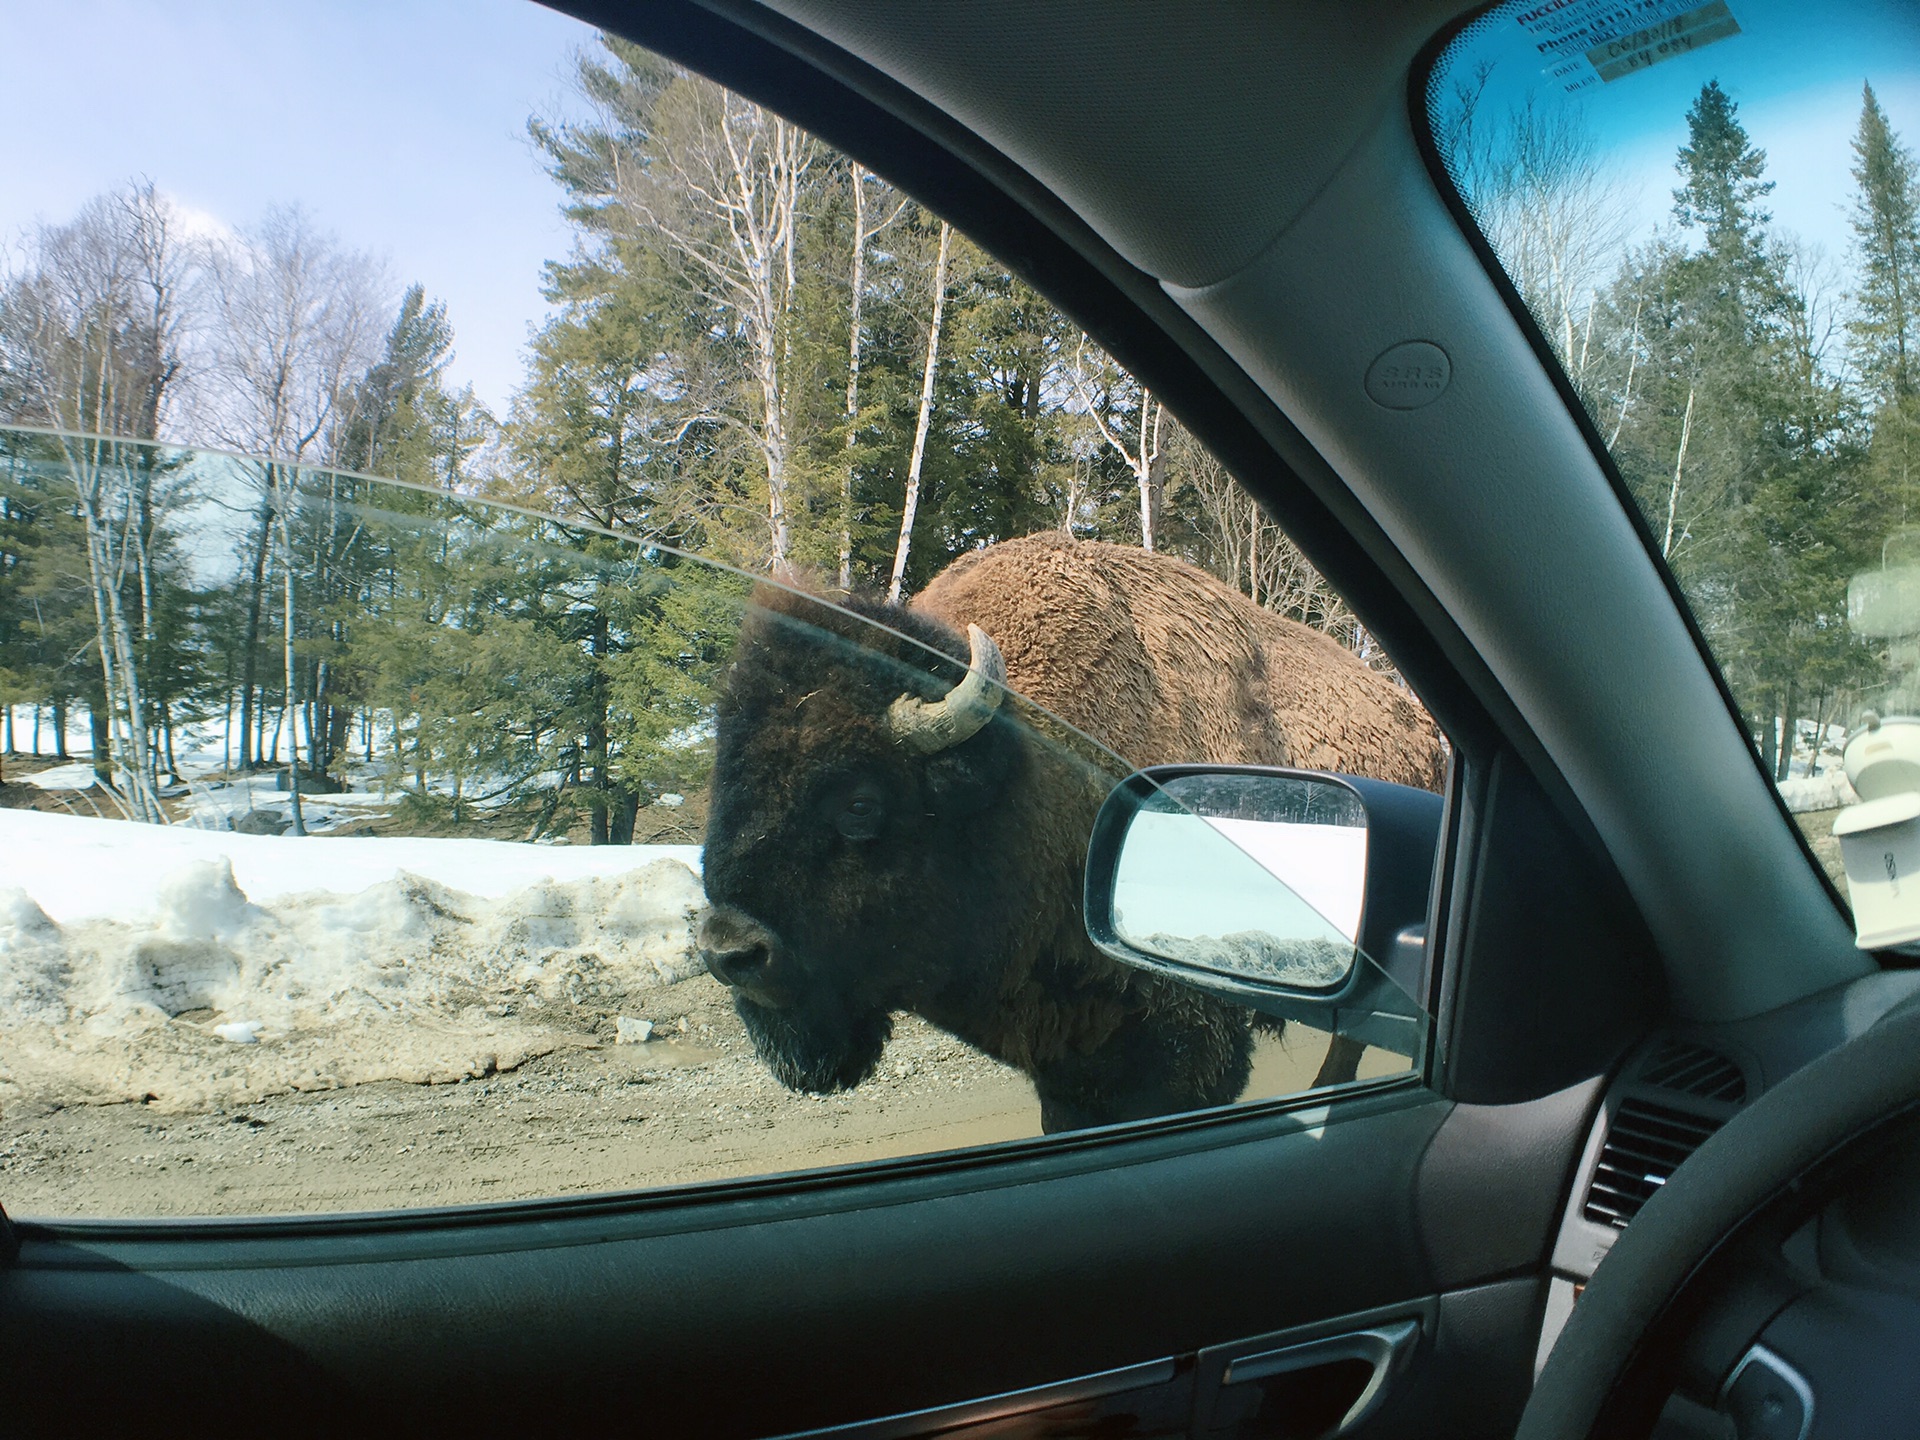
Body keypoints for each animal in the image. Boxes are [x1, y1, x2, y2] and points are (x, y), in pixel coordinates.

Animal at [702, 537, 1443, 1136]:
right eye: (724, 782)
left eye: (860, 802)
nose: (728, 951)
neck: (1031, 777)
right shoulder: (1067, 1059)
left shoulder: (1184, 1046)